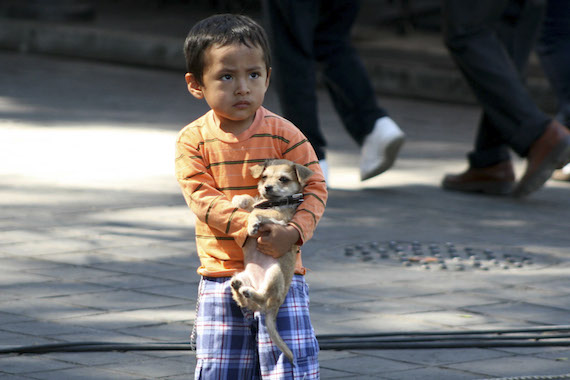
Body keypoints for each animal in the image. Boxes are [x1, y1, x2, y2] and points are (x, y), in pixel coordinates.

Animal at [230, 159, 312, 364]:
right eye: (264, 177)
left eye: (283, 179)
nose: (267, 187)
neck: (273, 203)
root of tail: (271, 310)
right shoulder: (260, 204)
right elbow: (251, 202)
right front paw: (239, 199)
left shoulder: (279, 219)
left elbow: (254, 213)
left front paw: (252, 225)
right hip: (242, 276)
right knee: (245, 301)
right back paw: (240, 287)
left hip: (274, 275)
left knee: (264, 297)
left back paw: (250, 292)